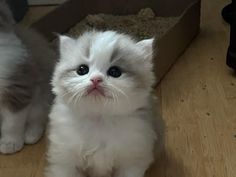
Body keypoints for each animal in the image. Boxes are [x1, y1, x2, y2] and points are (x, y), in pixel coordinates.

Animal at [0, 0, 56, 153]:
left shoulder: (17, 87)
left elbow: (11, 122)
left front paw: (11, 142)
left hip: (42, 95)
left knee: (39, 117)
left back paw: (31, 134)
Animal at [46, 30, 164, 177]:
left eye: (114, 72)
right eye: (82, 70)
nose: (96, 79)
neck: (99, 119)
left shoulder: (132, 160)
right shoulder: (64, 159)